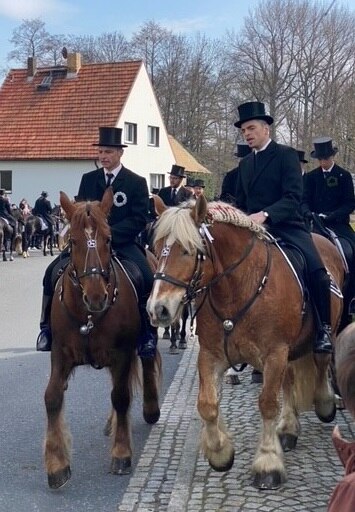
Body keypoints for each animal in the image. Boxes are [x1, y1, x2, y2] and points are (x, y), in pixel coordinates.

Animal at [43, 188, 161, 488]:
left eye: (108, 238)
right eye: (72, 241)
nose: (96, 297)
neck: (87, 315)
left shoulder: (122, 352)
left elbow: (120, 396)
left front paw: (121, 454)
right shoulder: (60, 353)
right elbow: (52, 397)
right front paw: (57, 464)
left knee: (146, 364)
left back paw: (149, 409)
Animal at [147, 195, 344, 488]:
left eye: (188, 250)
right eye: (157, 246)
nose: (157, 309)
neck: (236, 288)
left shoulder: (274, 354)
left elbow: (268, 404)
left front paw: (268, 462)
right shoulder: (211, 354)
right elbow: (207, 404)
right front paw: (220, 452)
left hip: (321, 335)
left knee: (321, 362)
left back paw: (325, 402)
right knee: (290, 381)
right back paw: (288, 428)